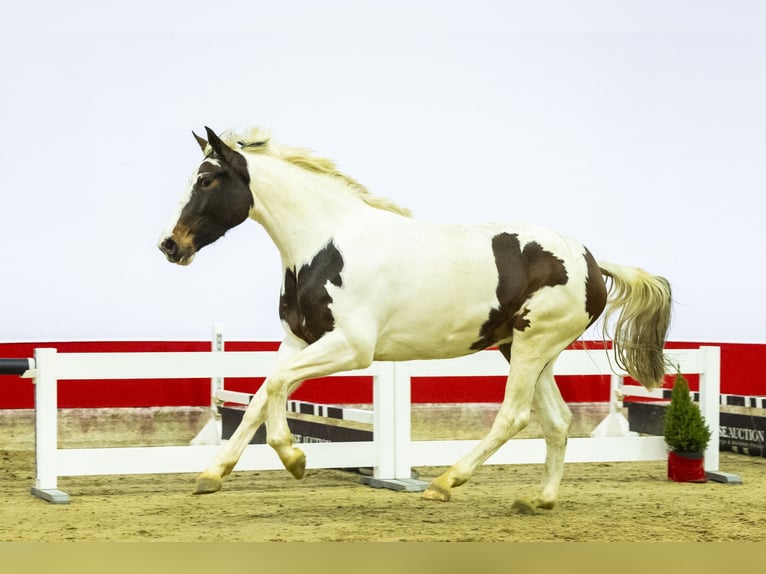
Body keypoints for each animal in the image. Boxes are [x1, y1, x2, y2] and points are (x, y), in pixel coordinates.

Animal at [158, 127, 672, 512]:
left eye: (207, 180)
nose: (169, 245)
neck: (325, 245)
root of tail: (592, 262)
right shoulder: (299, 341)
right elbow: (261, 397)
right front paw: (212, 474)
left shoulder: (352, 347)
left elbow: (277, 387)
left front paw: (294, 458)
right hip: (524, 349)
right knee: (558, 421)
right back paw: (539, 501)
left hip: (532, 345)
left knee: (514, 416)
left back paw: (445, 483)